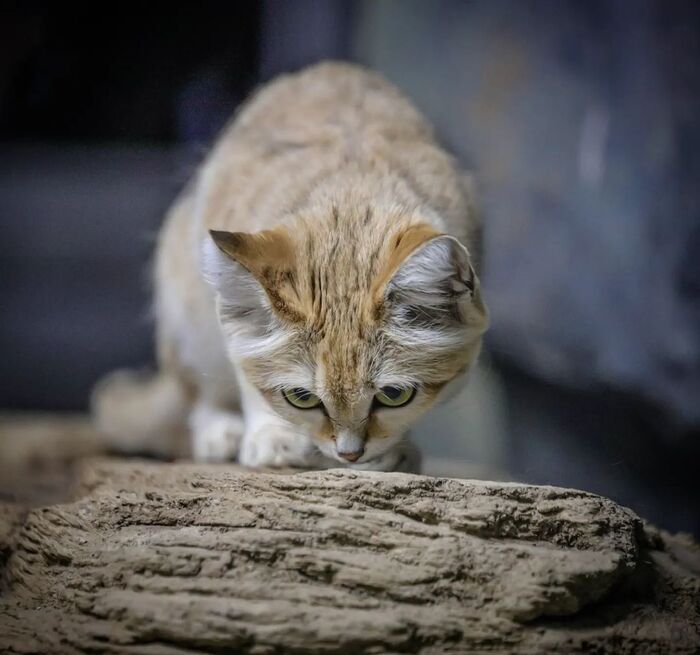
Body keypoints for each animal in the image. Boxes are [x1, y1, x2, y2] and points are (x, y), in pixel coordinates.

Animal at [92, 62, 489, 473]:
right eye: (302, 397)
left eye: (395, 395)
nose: (349, 454)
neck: (349, 197)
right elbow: (251, 376)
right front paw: (273, 437)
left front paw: (397, 451)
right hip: (187, 308)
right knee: (202, 393)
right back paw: (221, 432)